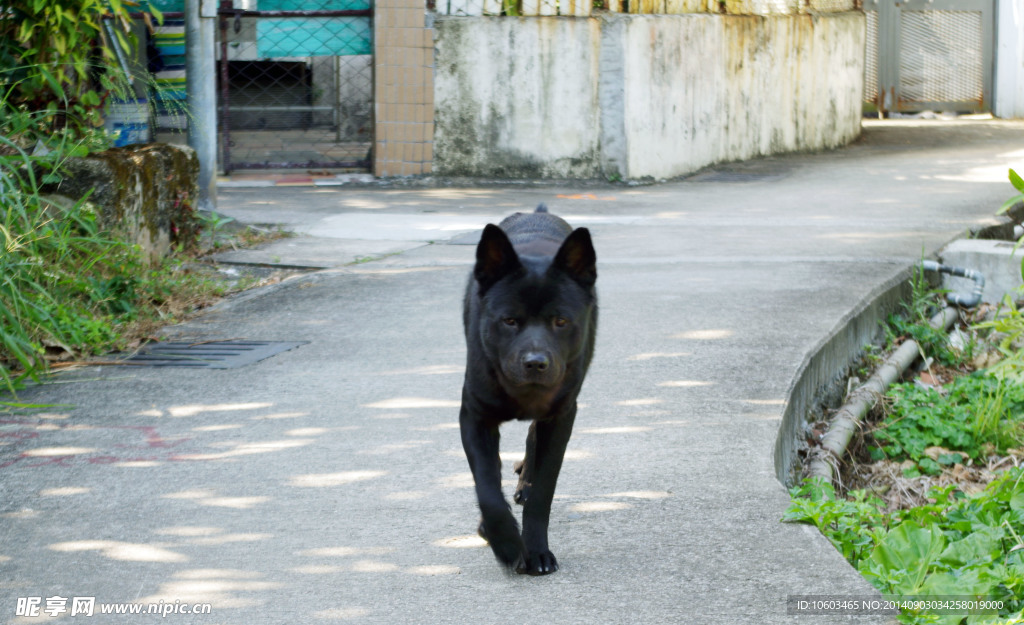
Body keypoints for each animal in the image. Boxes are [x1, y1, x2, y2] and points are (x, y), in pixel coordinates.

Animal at [460, 205, 598, 573]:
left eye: (560, 321)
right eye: (509, 320)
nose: (536, 363)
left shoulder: (561, 416)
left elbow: (543, 492)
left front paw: (535, 550)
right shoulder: (474, 416)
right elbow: (487, 487)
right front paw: (505, 541)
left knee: (533, 438)